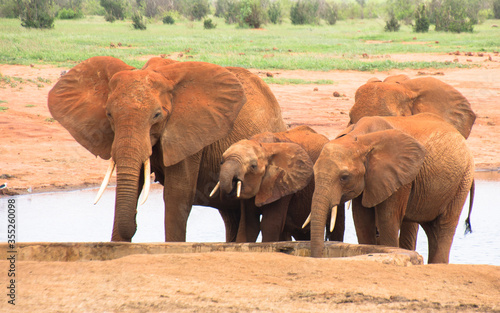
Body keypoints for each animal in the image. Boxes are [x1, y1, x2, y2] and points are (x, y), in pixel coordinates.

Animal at [49, 55, 290, 241]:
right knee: (231, 216)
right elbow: (133, 186)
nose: (136, 225)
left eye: (157, 115)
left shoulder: (189, 132)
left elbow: (177, 195)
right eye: (109, 114)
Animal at [210, 125, 344, 243]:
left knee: (337, 227)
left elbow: (270, 224)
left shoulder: (284, 183)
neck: (264, 146)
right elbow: (249, 225)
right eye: (221, 162)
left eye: (253, 166)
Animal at [310, 112, 474, 264]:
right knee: (432, 229)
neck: (360, 139)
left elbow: (387, 219)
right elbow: (362, 220)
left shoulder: (401, 178)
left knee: (444, 226)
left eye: (344, 177)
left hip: (463, 179)